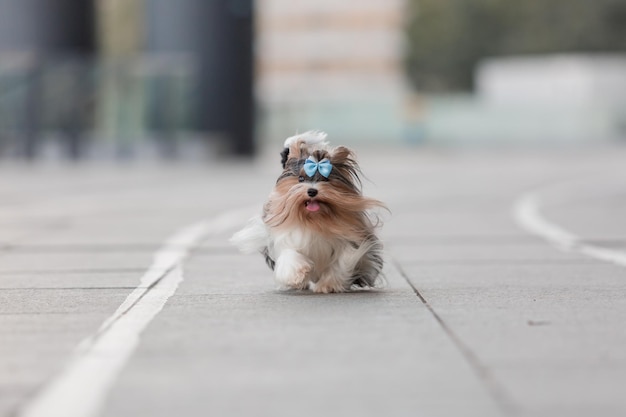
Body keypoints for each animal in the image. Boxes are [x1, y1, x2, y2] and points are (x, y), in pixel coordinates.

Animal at [230, 131, 386, 292]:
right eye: (300, 178)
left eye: (325, 179)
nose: (312, 191)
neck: (314, 219)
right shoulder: (288, 238)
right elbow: (290, 255)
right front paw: (297, 275)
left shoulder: (349, 243)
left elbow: (340, 264)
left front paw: (328, 285)